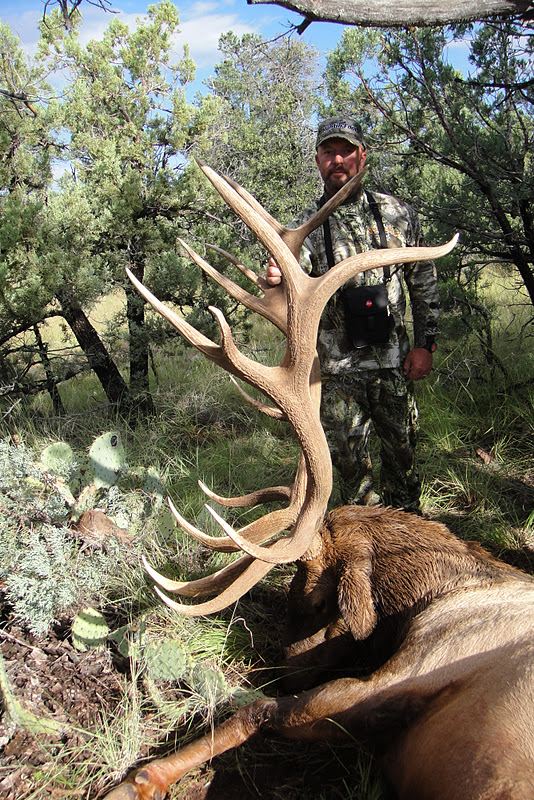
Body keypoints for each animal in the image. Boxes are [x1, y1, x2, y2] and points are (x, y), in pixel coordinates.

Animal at [105, 162, 534, 800]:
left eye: (307, 589)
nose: (284, 661)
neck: (442, 589)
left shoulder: (423, 662)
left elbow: (258, 710)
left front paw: (140, 778)